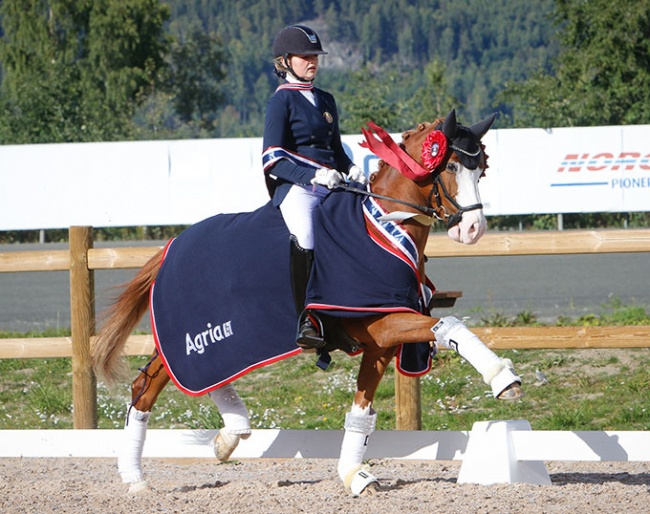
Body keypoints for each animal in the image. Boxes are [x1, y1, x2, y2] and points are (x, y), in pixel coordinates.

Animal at [92, 110, 520, 494]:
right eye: (450, 165)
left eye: (480, 169)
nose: (473, 228)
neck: (381, 224)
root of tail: (172, 247)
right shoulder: (384, 320)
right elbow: (450, 326)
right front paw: (503, 379)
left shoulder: (380, 342)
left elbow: (361, 413)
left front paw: (354, 475)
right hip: (196, 335)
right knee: (149, 387)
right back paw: (136, 479)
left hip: (215, 343)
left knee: (193, 380)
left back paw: (226, 437)